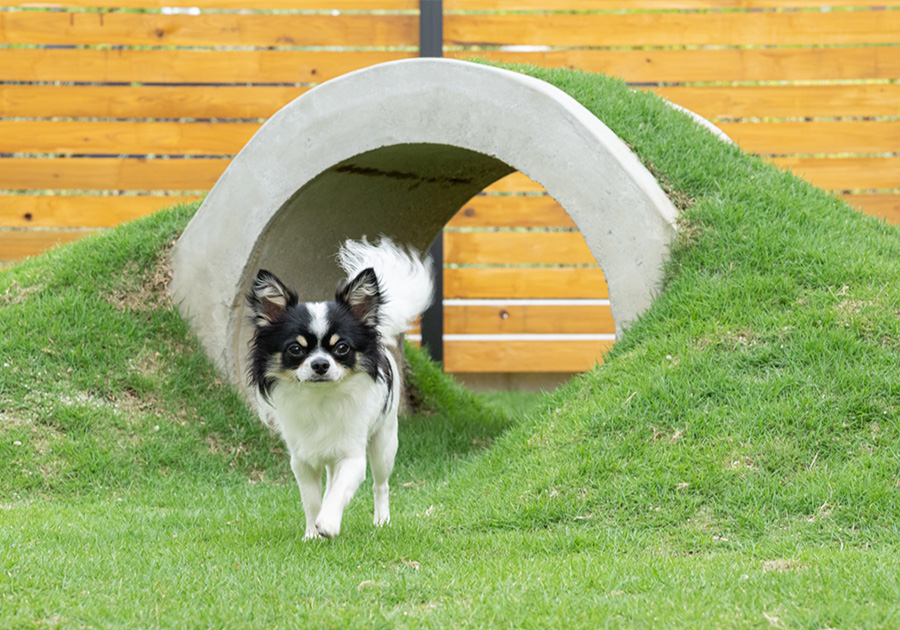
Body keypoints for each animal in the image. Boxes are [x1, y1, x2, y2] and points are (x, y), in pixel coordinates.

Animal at [244, 239, 430, 540]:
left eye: (341, 348)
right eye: (295, 349)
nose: (320, 364)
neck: (321, 398)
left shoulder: (353, 458)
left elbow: (340, 491)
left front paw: (329, 523)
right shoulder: (302, 461)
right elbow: (312, 500)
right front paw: (311, 533)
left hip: (384, 443)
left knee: (380, 485)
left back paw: (382, 520)